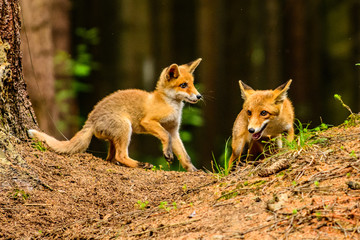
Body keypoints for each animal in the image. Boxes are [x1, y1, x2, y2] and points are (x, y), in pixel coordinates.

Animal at [28, 58, 202, 172]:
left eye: (193, 84)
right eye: (183, 85)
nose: (199, 96)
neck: (169, 103)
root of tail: (91, 118)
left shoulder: (174, 130)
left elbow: (185, 156)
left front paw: (194, 170)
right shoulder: (149, 121)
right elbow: (166, 136)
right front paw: (167, 153)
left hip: (115, 137)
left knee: (110, 159)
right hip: (125, 128)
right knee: (120, 156)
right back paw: (140, 165)